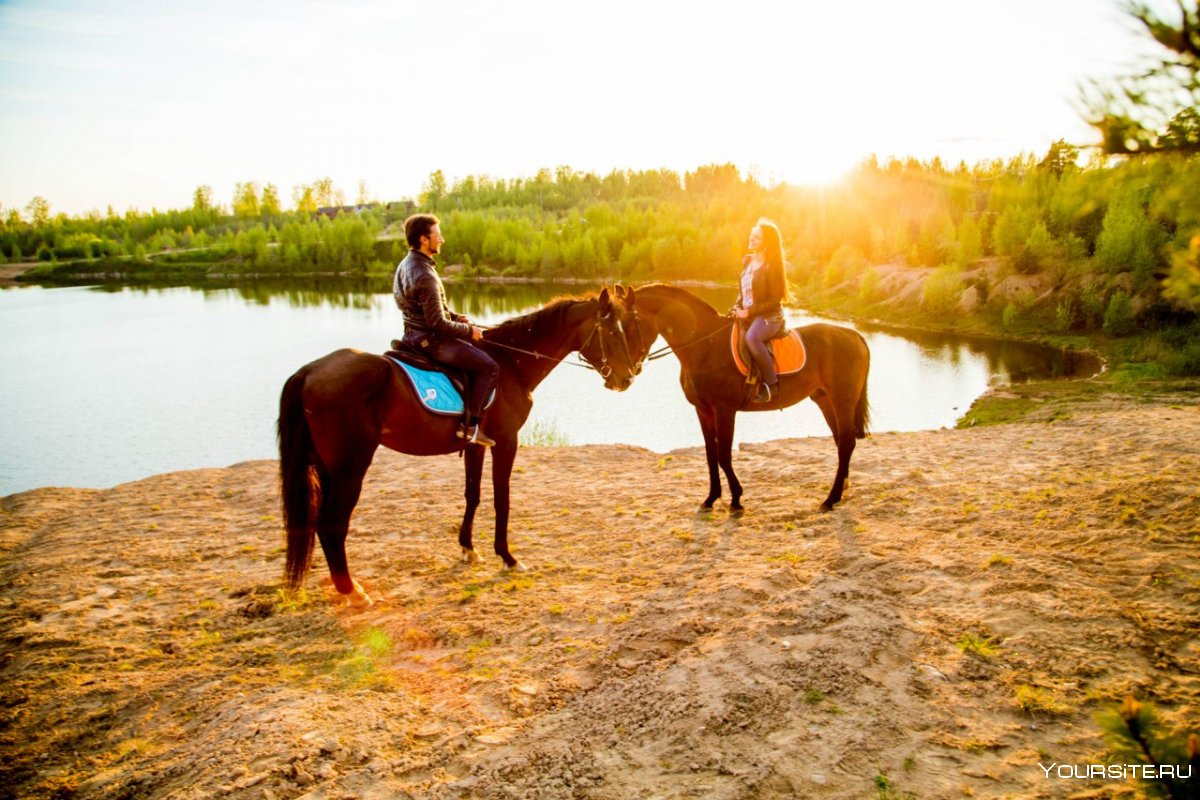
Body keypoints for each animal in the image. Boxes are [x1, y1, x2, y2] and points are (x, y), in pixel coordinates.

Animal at [276, 287, 643, 606]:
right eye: (614, 332)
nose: (627, 377)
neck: (510, 362)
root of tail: (309, 371)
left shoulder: (477, 445)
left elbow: (473, 494)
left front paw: (468, 548)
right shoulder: (506, 441)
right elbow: (501, 500)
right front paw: (508, 557)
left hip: (326, 467)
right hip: (350, 467)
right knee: (332, 523)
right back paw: (353, 591)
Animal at [624, 284, 868, 513]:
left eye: (628, 324)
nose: (628, 371)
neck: (706, 345)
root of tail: (855, 336)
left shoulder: (724, 409)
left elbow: (723, 455)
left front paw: (736, 499)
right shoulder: (703, 409)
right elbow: (711, 454)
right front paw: (711, 498)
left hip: (842, 401)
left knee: (846, 443)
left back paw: (830, 499)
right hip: (825, 400)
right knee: (842, 442)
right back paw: (841, 491)